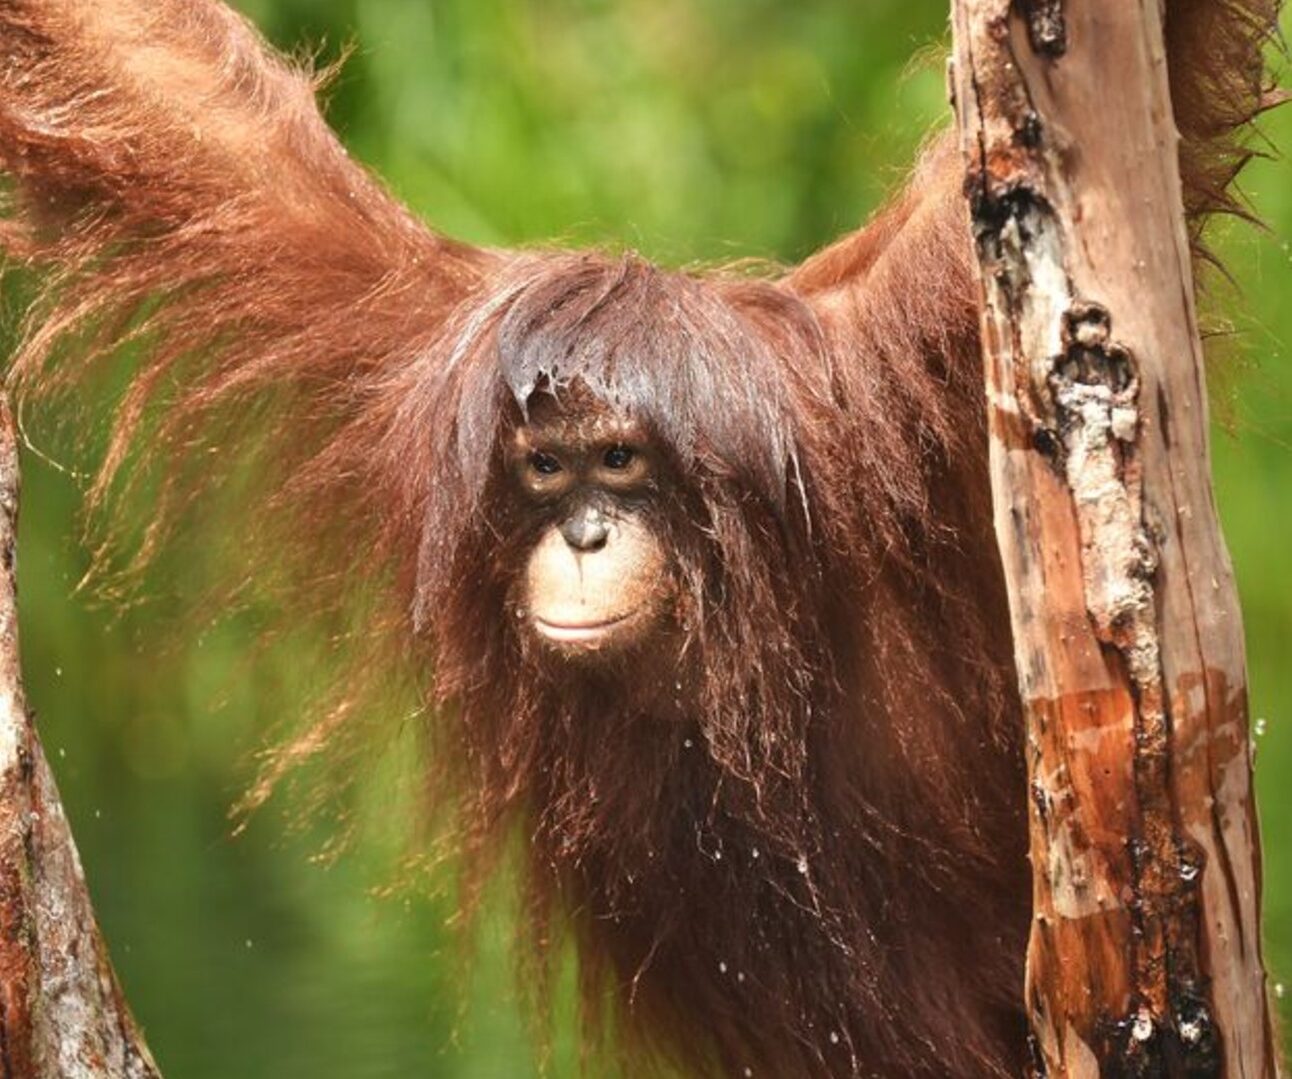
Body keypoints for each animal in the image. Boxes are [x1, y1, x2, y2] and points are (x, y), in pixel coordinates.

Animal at [0, 1, 1280, 1075]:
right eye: (545, 467)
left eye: (619, 462)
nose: (580, 532)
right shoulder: (405, 354)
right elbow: (168, 92)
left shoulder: (894, 363)